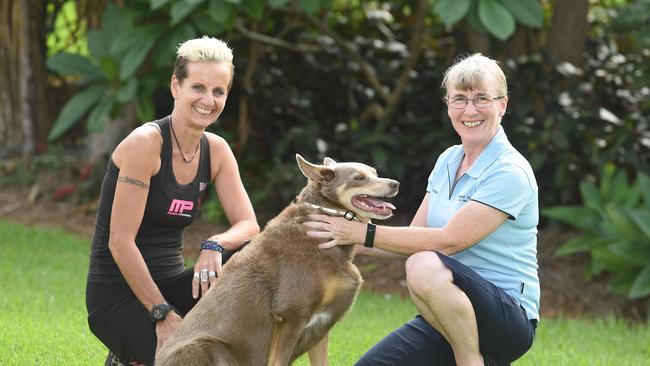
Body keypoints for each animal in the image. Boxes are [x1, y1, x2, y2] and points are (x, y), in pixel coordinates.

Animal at [156, 154, 398, 366]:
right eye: (359, 178)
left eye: (376, 173)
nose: (395, 183)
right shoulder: (291, 315)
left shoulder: (322, 324)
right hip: (207, 347)